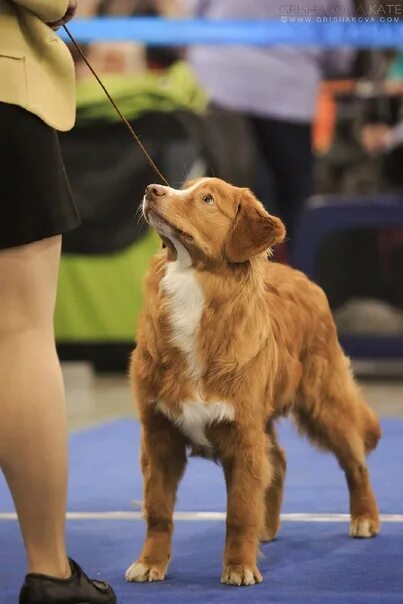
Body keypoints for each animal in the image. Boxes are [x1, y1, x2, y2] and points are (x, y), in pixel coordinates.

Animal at [127, 177, 382, 588]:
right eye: (183, 187)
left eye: (207, 199)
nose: (152, 190)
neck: (194, 290)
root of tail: (298, 275)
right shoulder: (159, 433)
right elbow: (159, 511)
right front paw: (150, 563)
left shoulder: (243, 433)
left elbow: (239, 511)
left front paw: (239, 566)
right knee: (278, 459)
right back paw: (269, 526)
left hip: (322, 400)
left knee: (355, 460)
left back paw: (365, 518)